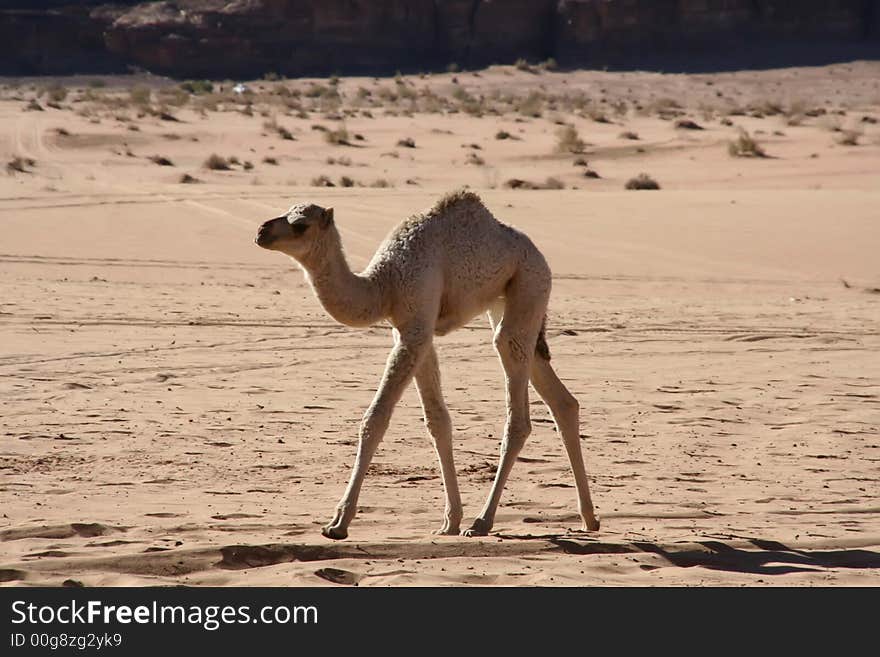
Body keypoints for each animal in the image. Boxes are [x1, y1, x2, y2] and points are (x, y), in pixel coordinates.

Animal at [254, 190, 600, 540]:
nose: (262, 231)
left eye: (300, 225)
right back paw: (589, 518)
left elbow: (375, 419)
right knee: (559, 397)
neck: (385, 284)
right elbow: (437, 422)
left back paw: (483, 521)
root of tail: (539, 255)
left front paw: (338, 522)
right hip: (509, 302)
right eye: (286, 211)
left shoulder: (416, 328)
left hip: (529, 282)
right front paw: (450, 521)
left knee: (516, 401)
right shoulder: (411, 332)